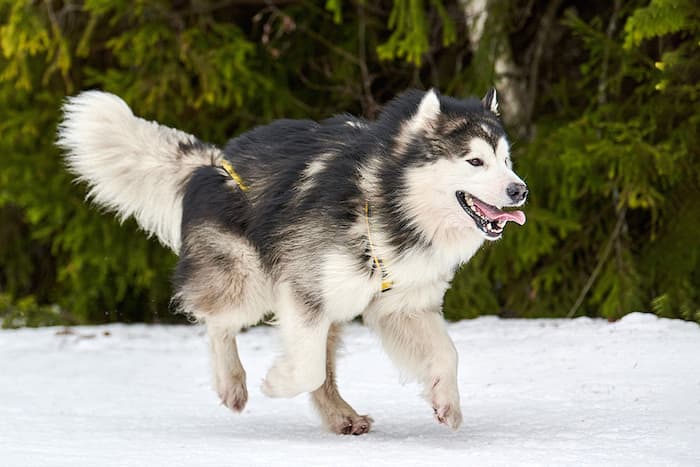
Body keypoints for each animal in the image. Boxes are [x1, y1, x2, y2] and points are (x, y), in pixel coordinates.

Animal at [58, 88, 524, 436]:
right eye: (474, 161)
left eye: (506, 160)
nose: (520, 190)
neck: (387, 202)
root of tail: (213, 162)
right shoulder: (303, 291)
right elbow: (306, 369)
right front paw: (276, 382)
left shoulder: (401, 305)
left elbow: (447, 354)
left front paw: (447, 402)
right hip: (248, 282)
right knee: (218, 324)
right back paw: (233, 383)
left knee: (320, 367)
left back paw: (341, 416)